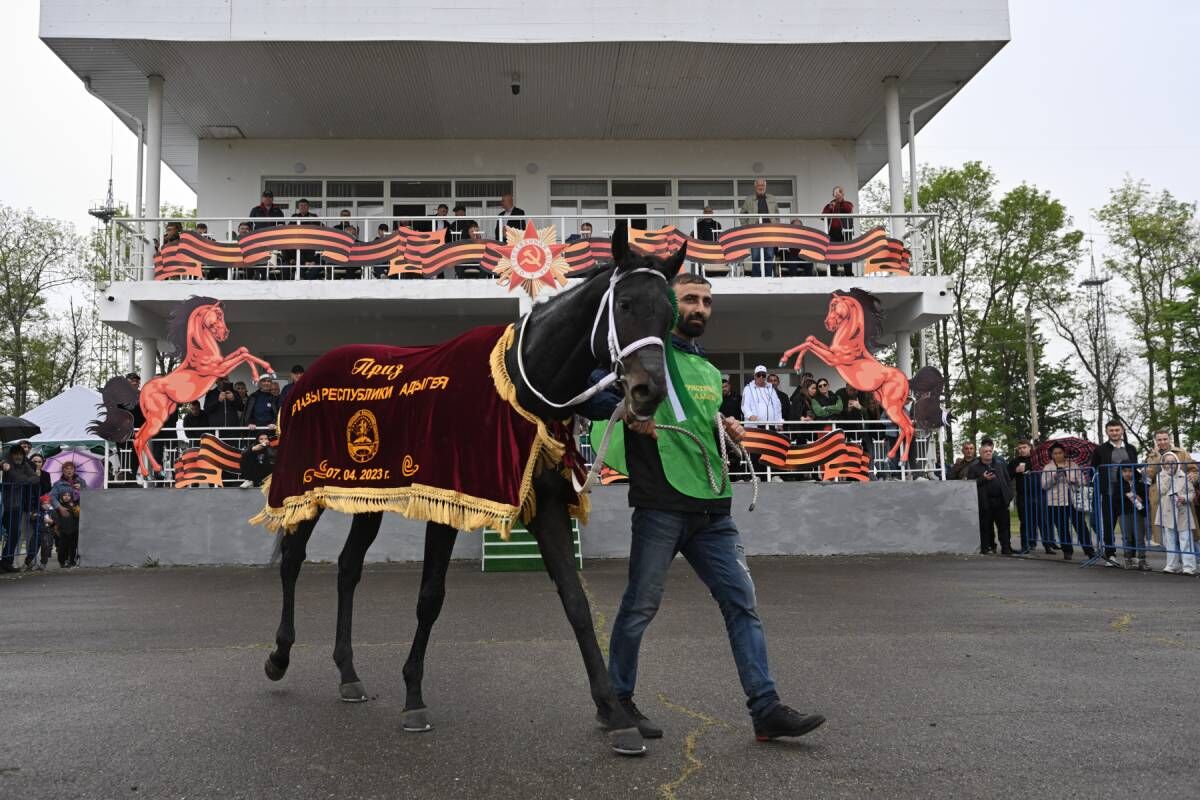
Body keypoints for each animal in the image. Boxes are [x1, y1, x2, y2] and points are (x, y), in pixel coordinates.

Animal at [260, 226, 686, 758]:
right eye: (626, 304)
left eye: (669, 314)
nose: (649, 391)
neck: (518, 386)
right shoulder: (447, 502)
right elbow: (430, 597)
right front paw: (414, 697)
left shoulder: (545, 505)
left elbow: (576, 602)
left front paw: (614, 713)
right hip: (306, 488)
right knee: (294, 560)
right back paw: (279, 656)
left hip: (367, 496)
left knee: (347, 568)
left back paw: (348, 672)